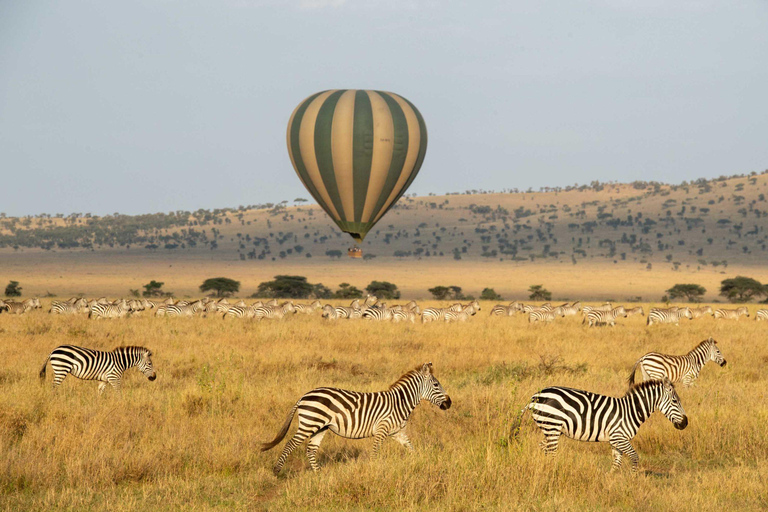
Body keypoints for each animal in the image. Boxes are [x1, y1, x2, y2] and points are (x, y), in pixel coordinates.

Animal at [262, 362, 450, 474]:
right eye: (436, 385)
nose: (449, 403)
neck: (399, 403)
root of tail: (303, 397)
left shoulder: (397, 432)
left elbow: (411, 449)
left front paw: (418, 463)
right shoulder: (382, 429)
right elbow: (375, 452)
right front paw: (374, 470)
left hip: (320, 427)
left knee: (311, 449)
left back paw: (319, 474)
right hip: (309, 423)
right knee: (290, 444)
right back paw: (277, 471)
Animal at [512, 376, 688, 472]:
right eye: (675, 401)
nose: (685, 423)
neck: (631, 410)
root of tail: (535, 396)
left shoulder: (616, 440)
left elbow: (617, 462)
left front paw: (611, 481)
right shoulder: (619, 437)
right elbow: (634, 457)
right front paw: (632, 480)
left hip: (550, 429)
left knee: (543, 448)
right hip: (552, 426)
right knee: (551, 452)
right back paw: (552, 471)